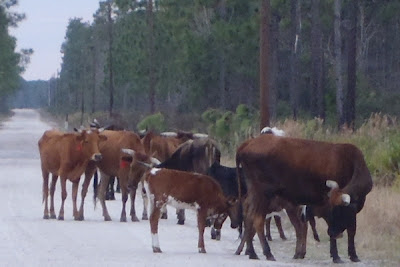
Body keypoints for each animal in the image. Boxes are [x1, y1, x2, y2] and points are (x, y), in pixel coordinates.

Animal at [236, 134, 374, 264]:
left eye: (338, 210)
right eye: (334, 210)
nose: (334, 232)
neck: (350, 162)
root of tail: (249, 143)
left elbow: (351, 230)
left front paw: (350, 255)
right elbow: (351, 229)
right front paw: (340, 256)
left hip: (254, 194)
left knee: (249, 217)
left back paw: (252, 253)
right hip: (263, 194)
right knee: (258, 220)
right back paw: (268, 253)